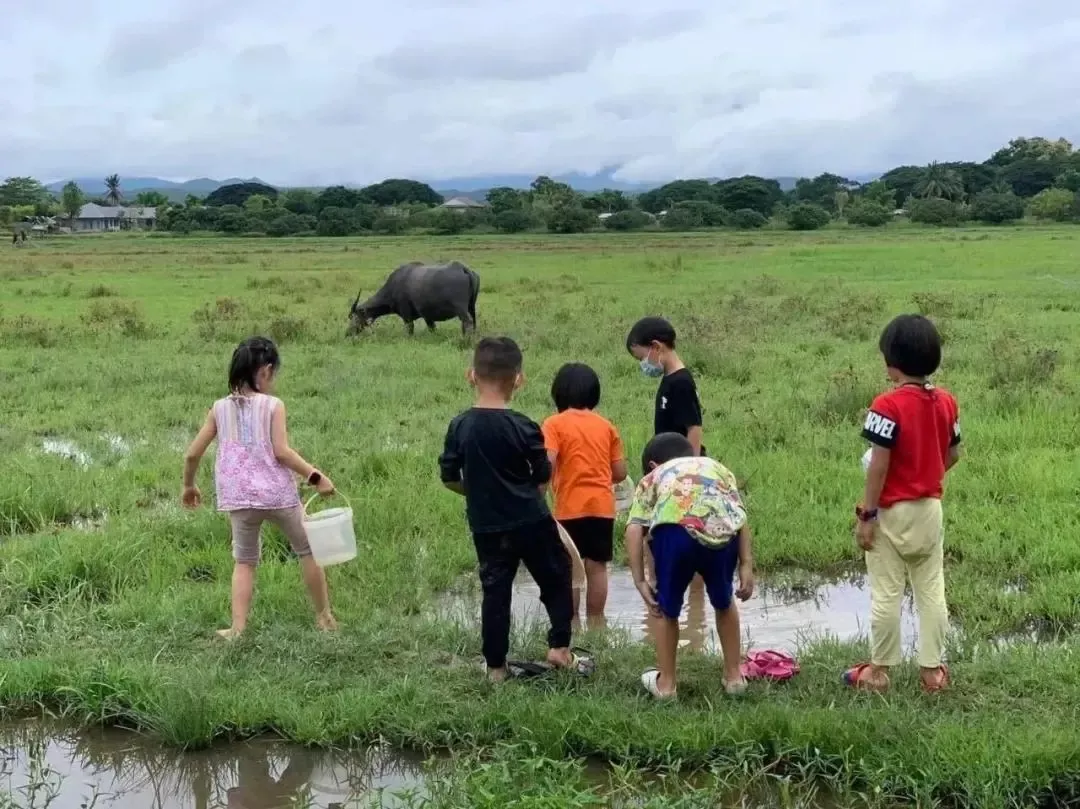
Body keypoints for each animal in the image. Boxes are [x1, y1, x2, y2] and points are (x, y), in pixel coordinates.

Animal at [345, 259, 481, 334]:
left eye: (355, 317)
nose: (347, 333)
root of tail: (463, 268)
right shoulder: (427, 316)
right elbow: (432, 328)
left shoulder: (406, 315)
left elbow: (410, 328)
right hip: (472, 307)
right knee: (473, 321)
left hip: (460, 308)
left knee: (467, 321)